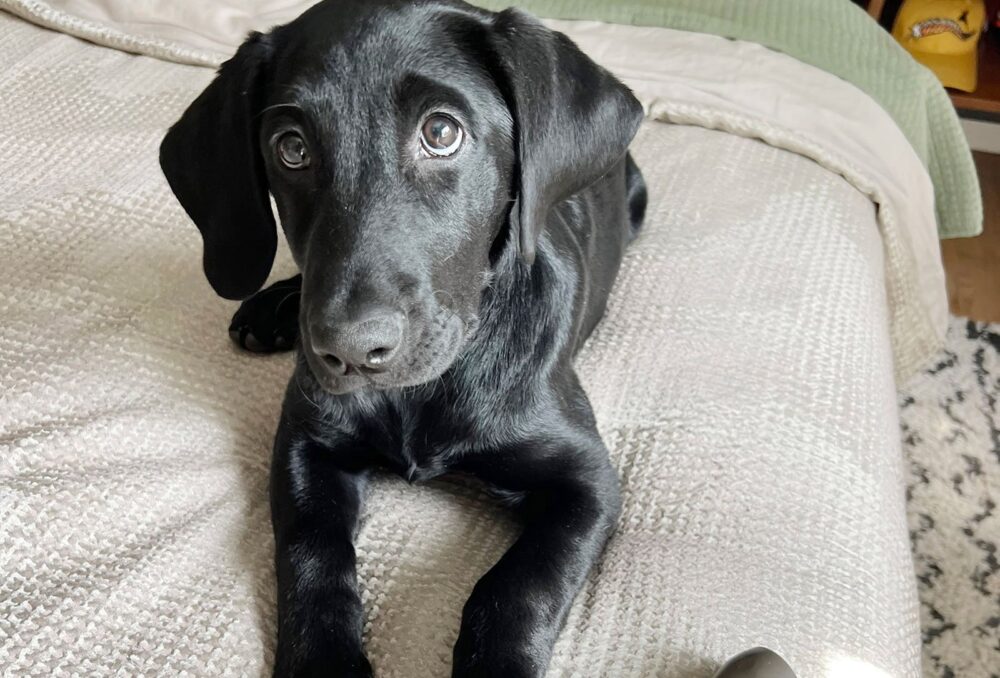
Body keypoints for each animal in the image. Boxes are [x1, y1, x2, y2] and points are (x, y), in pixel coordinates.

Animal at [160, 2, 644, 676]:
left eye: (441, 132)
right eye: (291, 148)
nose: (349, 350)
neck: (427, 391)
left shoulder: (588, 480)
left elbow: (522, 581)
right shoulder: (306, 442)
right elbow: (311, 551)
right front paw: (323, 662)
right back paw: (269, 310)